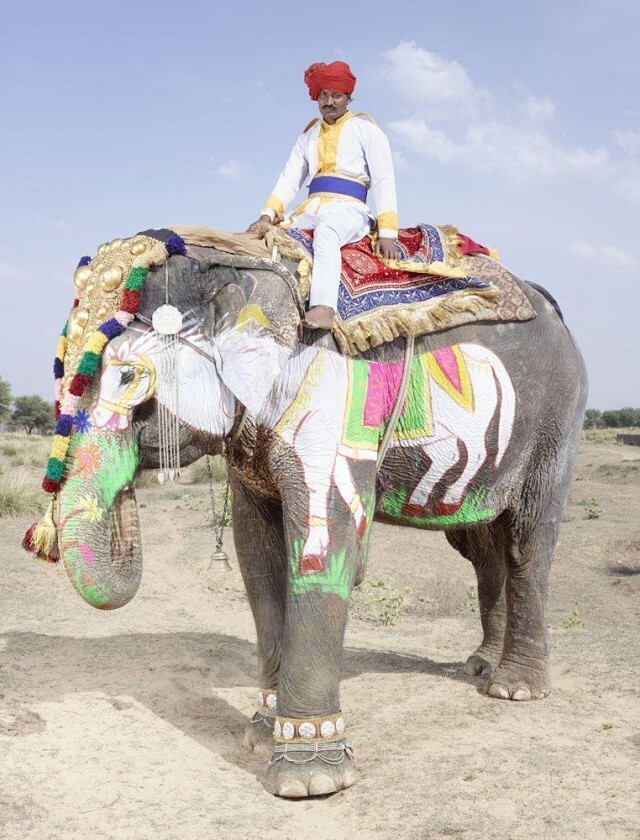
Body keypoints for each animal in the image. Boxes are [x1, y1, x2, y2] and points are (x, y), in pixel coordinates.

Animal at [31, 230, 592, 800]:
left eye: (127, 377)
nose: (42, 535)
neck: (232, 264)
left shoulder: (329, 402)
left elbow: (326, 536)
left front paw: (309, 780)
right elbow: (257, 555)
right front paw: (262, 738)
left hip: (556, 422)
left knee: (525, 539)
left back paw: (514, 690)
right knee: (481, 548)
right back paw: (479, 668)